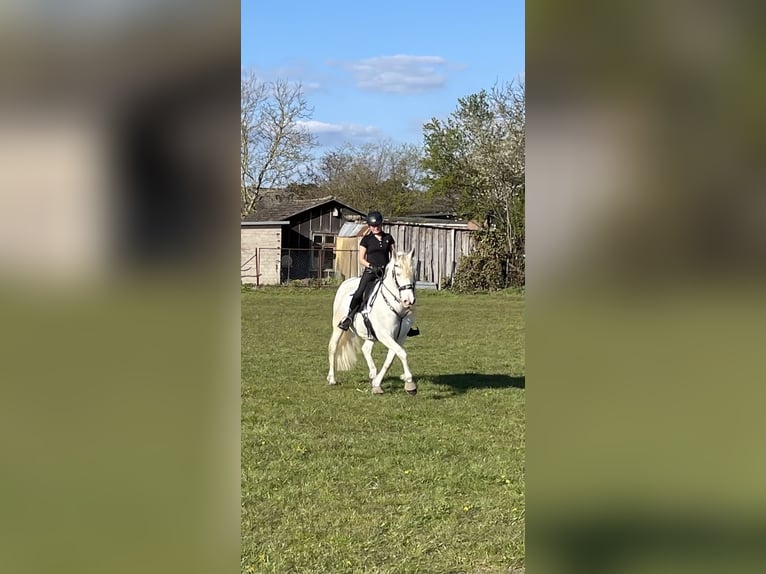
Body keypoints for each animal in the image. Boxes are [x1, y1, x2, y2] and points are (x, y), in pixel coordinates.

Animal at [326, 252, 416, 396]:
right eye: (397, 273)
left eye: (413, 272)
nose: (409, 301)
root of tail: (347, 282)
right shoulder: (385, 335)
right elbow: (402, 353)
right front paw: (409, 383)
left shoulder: (400, 337)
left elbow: (391, 358)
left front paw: (377, 384)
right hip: (338, 327)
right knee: (333, 348)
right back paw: (332, 379)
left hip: (370, 335)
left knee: (366, 349)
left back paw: (373, 374)